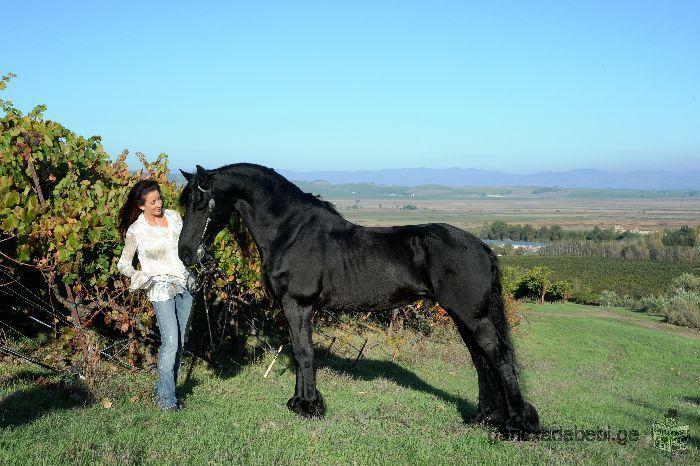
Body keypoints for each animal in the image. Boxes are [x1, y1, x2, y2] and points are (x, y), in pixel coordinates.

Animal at [178, 163, 540, 434]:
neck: (291, 232)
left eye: (201, 204)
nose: (185, 254)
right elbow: (299, 352)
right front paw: (299, 403)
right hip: (463, 317)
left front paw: (309, 406)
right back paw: (485, 418)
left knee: (499, 356)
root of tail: (482, 247)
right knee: (481, 360)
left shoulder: (298, 305)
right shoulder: (293, 308)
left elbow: (304, 353)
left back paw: (519, 424)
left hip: (472, 316)